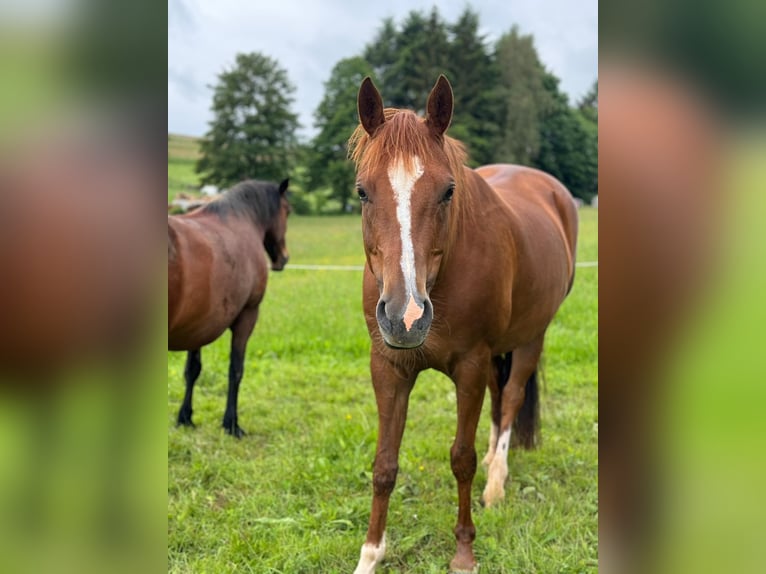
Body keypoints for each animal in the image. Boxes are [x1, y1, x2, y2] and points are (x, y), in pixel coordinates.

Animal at [168, 182, 292, 438]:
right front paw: (231, 423)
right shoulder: (247, 316)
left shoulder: (196, 324)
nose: (284, 259)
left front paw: (185, 417)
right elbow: (236, 369)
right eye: (288, 211)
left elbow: (192, 370)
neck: (241, 220)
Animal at [352, 76, 580, 574]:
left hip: (531, 337)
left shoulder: (469, 367)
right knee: (499, 398)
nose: (405, 316)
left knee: (511, 398)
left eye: (447, 191)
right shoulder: (388, 368)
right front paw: (370, 555)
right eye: (362, 191)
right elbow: (384, 464)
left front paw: (463, 552)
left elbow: (461, 458)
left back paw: (496, 483)